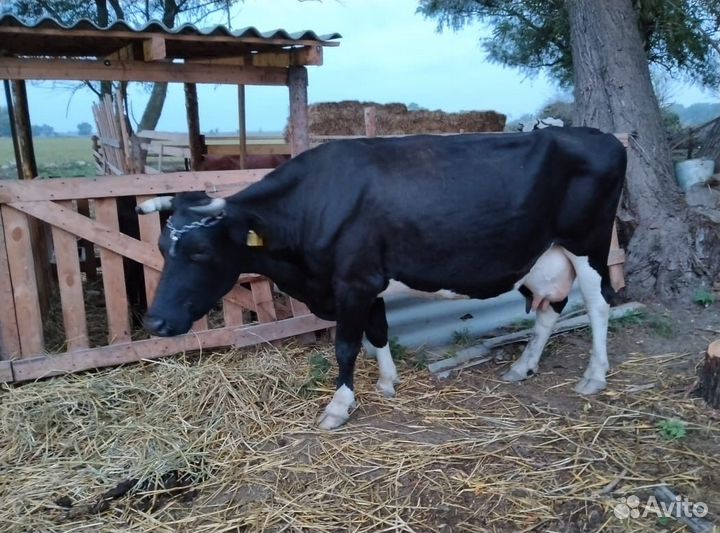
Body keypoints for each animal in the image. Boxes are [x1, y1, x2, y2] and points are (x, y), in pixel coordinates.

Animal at [136, 127, 626, 429]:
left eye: (200, 251)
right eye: (161, 247)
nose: (155, 321)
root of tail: (601, 136)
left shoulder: (353, 282)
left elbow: (347, 345)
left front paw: (339, 406)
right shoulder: (366, 284)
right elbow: (378, 332)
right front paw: (388, 383)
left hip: (588, 245)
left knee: (599, 305)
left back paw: (594, 376)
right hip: (547, 257)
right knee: (549, 311)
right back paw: (523, 367)